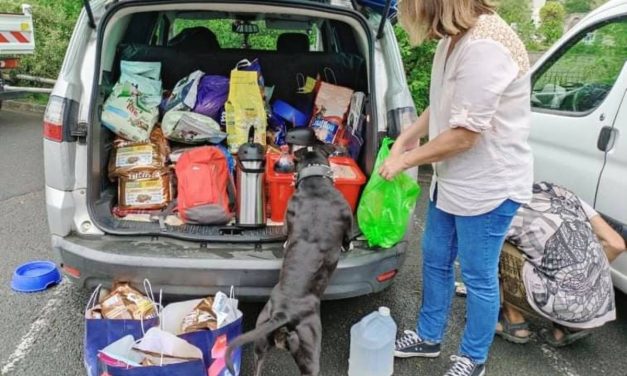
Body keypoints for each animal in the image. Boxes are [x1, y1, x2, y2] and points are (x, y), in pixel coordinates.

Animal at [226, 147, 354, 376]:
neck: (315, 185)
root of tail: (282, 314)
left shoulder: (288, 217)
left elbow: (287, 233)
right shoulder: (347, 220)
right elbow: (348, 238)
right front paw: (349, 246)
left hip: (260, 341)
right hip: (310, 351)